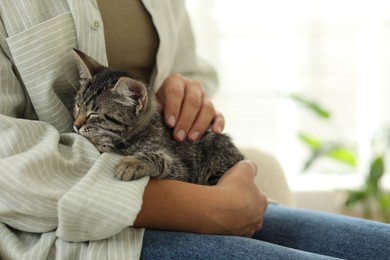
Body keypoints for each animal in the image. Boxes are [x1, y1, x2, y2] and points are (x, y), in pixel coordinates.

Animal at [72, 49, 244, 185]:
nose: (76, 125)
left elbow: (160, 158)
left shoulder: (184, 171)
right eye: (78, 106)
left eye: (94, 113)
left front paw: (132, 162)